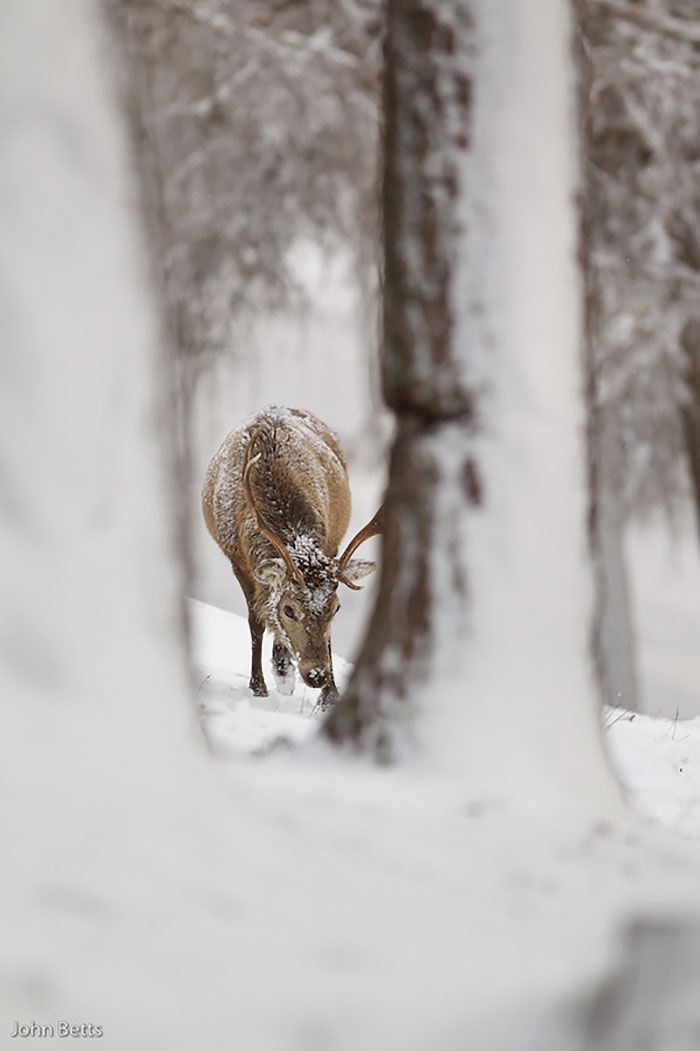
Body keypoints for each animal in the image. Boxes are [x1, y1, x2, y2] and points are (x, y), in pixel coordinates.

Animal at [202, 407, 383, 709]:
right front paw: (258, 687)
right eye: (289, 609)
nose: (318, 675)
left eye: (337, 608)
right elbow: (255, 622)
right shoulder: (238, 562)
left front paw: (330, 697)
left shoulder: (330, 547)